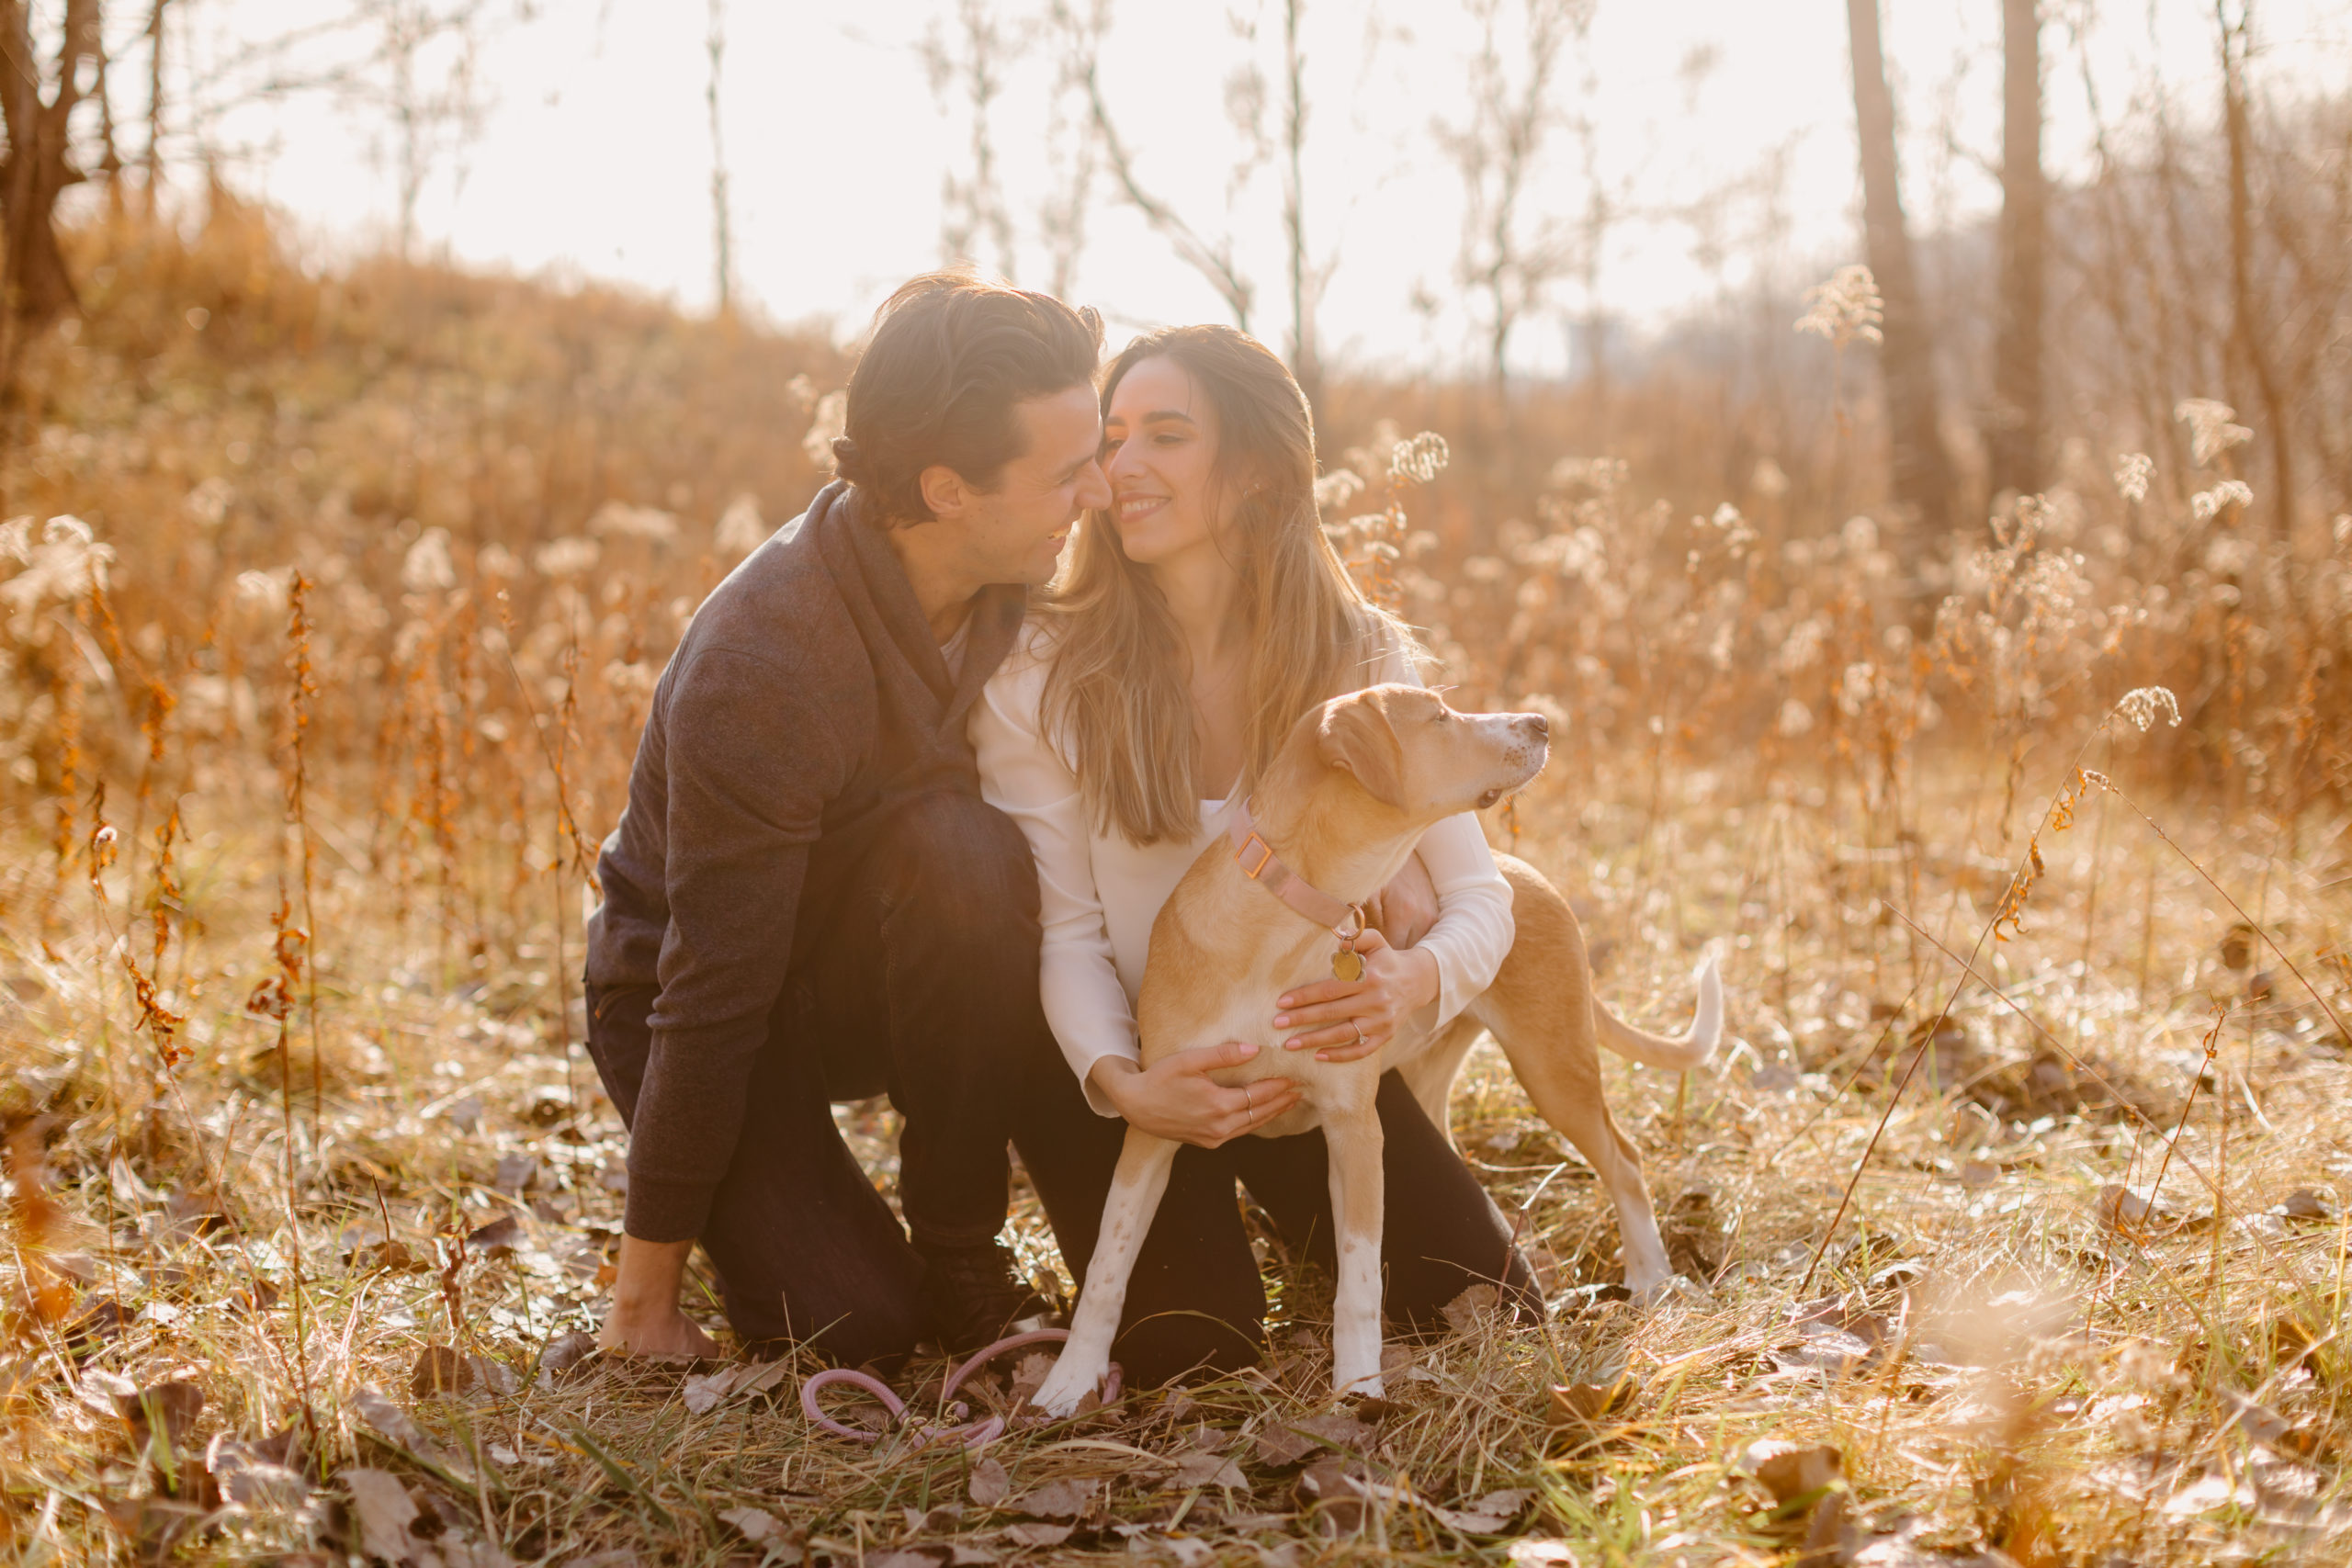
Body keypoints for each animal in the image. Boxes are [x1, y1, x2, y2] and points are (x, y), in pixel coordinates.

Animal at [1035, 682, 1731, 1419]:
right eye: (1440, 718)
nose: (1542, 722)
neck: (1285, 919)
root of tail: (1521, 874)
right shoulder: (1156, 1121)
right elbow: (1108, 1266)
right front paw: (1068, 1383)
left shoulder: (1354, 1129)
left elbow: (1361, 1276)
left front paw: (1359, 1390)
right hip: (1438, 1069)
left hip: (1552, 1064)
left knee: (1623, 1160)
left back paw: (1652, 1279)